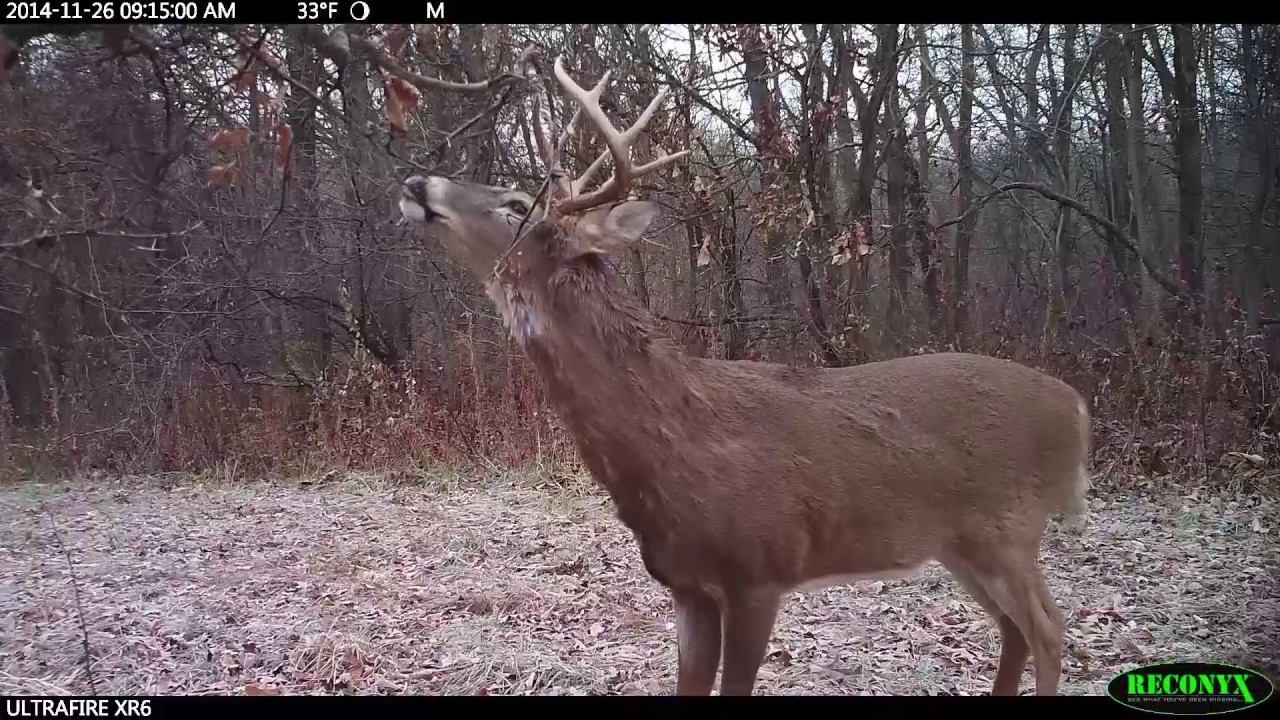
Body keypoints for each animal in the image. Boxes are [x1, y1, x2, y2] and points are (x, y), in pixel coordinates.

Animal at [397, 52, 1092, 697]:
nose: (416, 181)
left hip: (1009, 530)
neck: (670, 448)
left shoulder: (761, 571)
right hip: (960, 544)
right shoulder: (686, 585)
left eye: (516, 202)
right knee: (1014, 631)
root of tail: (1077, 408)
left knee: (1049, 629)